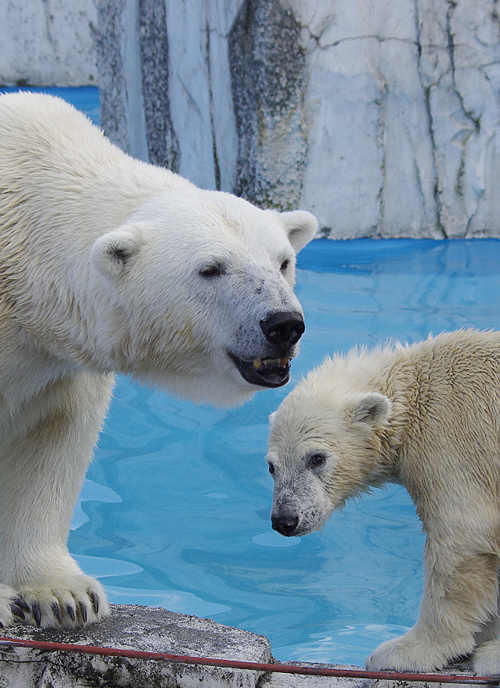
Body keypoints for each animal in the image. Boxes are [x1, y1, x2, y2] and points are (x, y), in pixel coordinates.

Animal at [0, 91, 316, 628]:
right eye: (210, 269)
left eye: (283, 261)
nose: (282, 325)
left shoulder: (55, 362)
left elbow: (53, 437)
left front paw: (63, 594)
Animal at [270, 330, 500, 676]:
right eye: (271, 466)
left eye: (316, 458)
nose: (284, 520)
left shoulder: (455, 444)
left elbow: (462, 539)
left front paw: (402, 653)